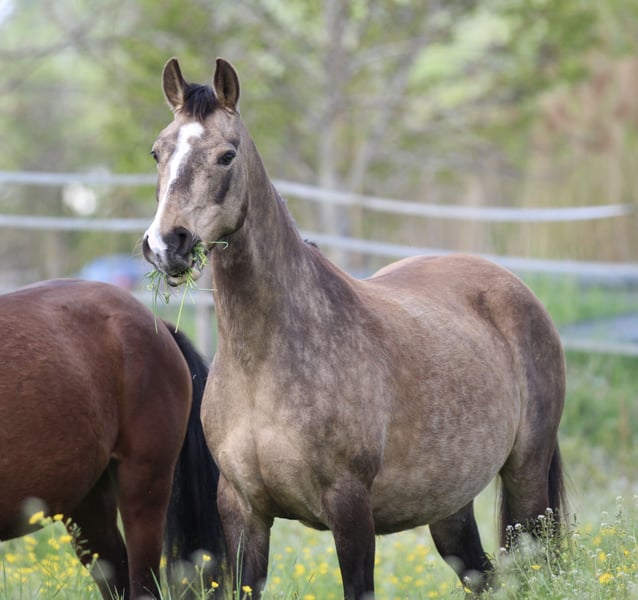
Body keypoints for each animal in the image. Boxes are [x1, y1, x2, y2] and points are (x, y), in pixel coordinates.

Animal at [141, 57, 567, 600]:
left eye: (226, 155)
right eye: (158, 151)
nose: (165, 244)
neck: (266, 362)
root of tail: (515, 290)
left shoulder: (350, 511)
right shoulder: (243, 512)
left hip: (527, 478)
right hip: (450, 507)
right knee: (481, 573)